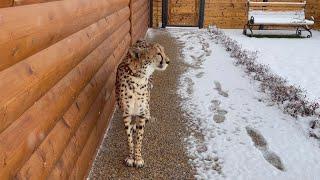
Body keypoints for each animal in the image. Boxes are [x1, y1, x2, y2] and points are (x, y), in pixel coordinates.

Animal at [115, 40, 170, 168]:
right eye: (158, 53)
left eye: (163, 51)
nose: (168, 61)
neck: (138, 77)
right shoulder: (126, 113)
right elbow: (129, 139)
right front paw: (131, 157)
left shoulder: (140, 112)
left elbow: (139, 138)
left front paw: (138, 158)